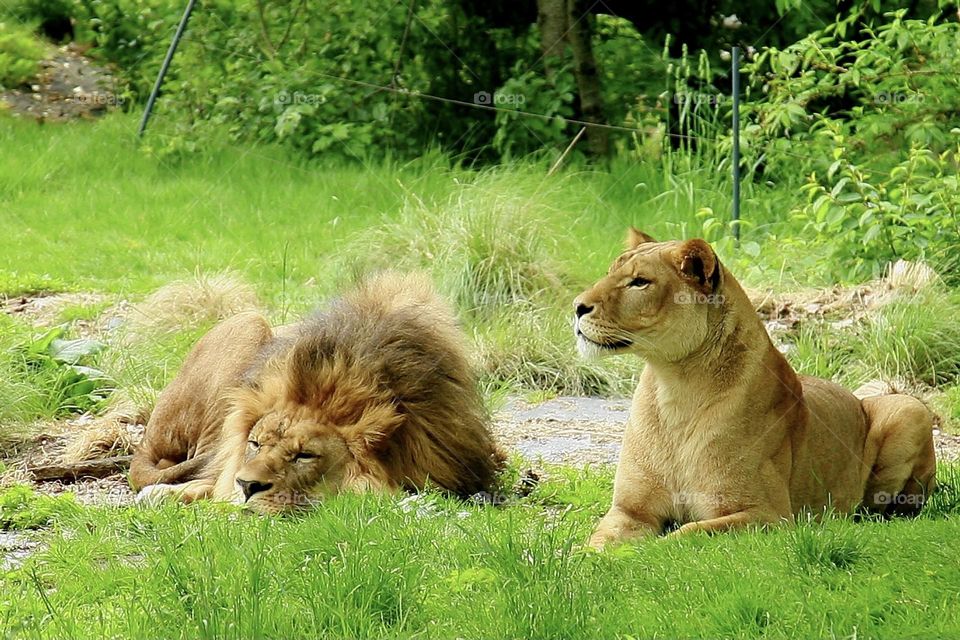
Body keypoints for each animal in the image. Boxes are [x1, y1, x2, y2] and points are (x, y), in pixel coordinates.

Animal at [574, 229, 937, 548]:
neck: (675, 386)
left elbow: (684, 535)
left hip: (908, 408)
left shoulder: (768, 515)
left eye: (640, 282)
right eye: (609, 274)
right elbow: (596, 543)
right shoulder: (630, 511)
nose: (577, 306)